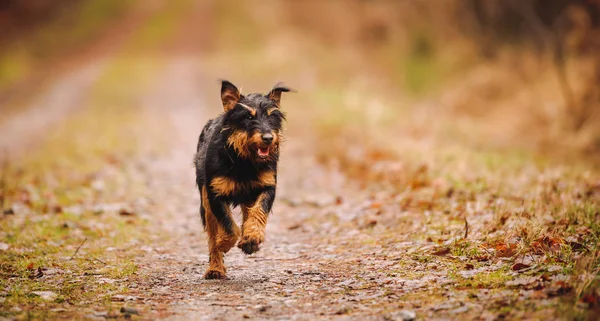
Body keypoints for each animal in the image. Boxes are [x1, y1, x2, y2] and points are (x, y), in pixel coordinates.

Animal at [195, 79, 290, 278]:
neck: (244, 160)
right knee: (212, 234)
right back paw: (215, 268)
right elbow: (228, 225)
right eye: (248, 117)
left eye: (272, 117)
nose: (268, 138)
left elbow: (259, 211)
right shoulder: (214, 193)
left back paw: (249, 241)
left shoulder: (267, 187)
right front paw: (223, 243)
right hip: (205, 200)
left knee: (249, 214)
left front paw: (252, 237)